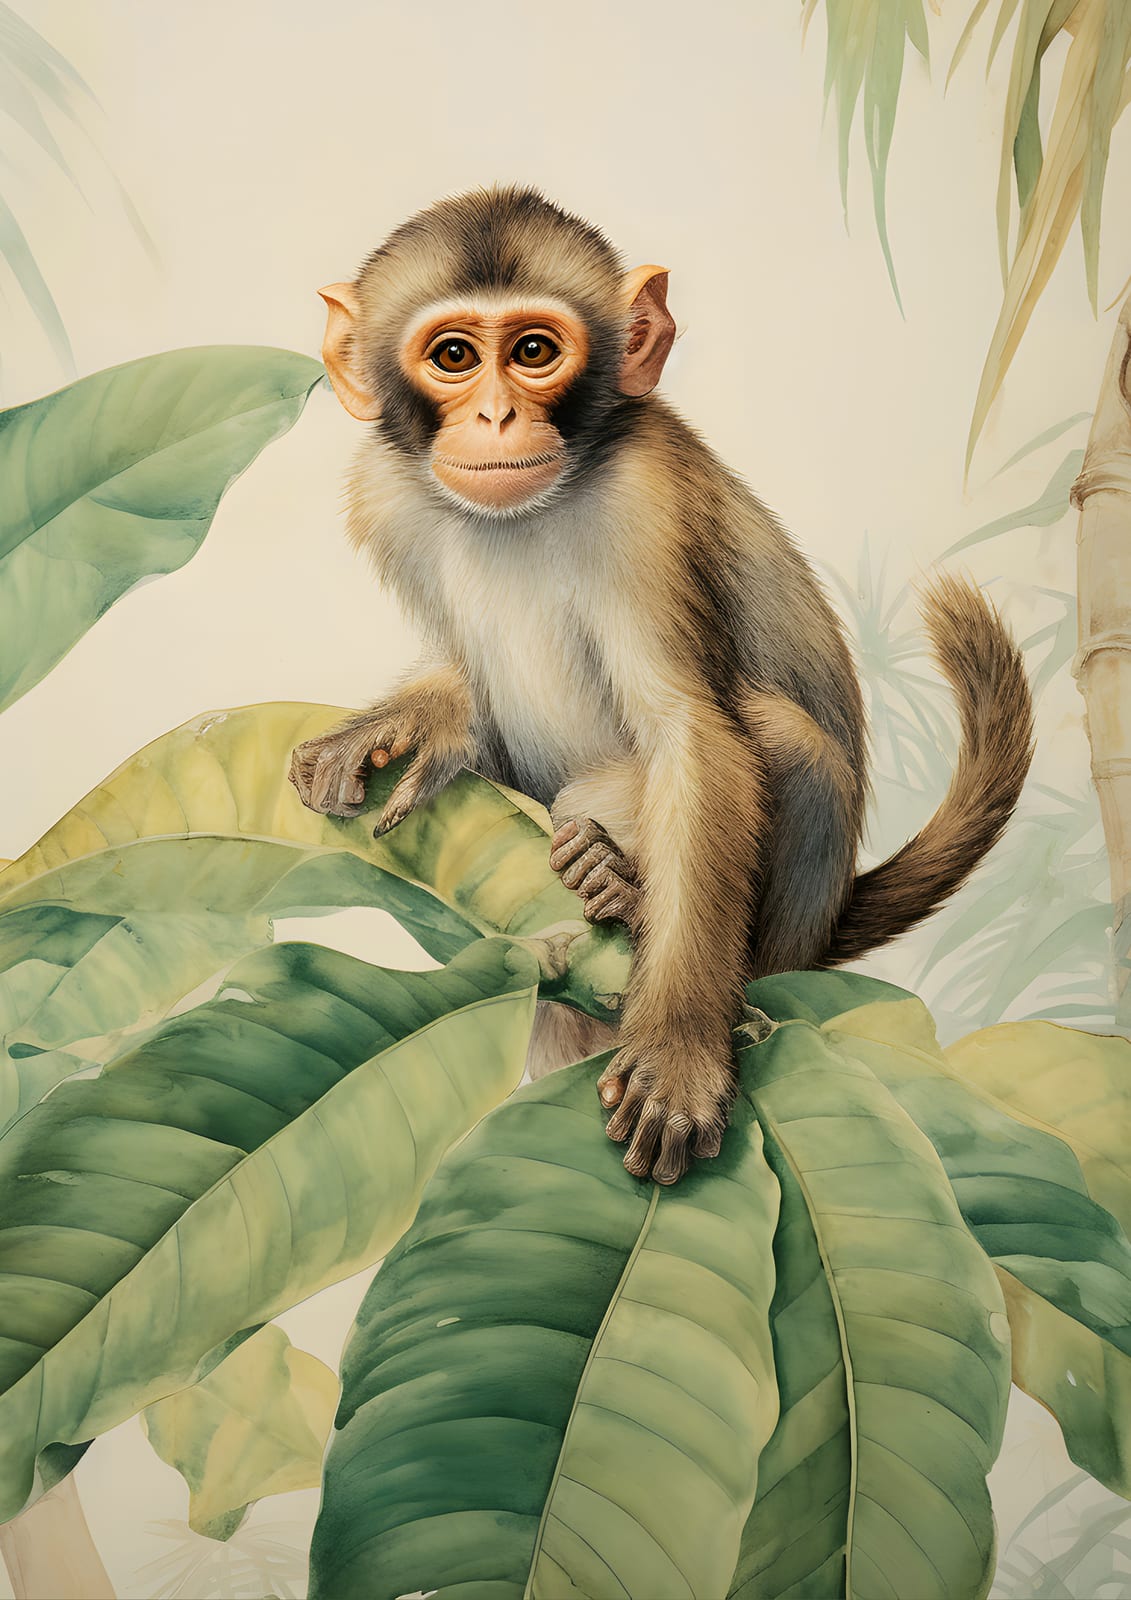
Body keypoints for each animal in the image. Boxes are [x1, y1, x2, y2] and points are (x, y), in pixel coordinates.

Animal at [289, 185, 1033, 1186]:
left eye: (533, 351)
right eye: (452, 357)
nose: (494, 418)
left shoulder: (646, 500)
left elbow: (692, 732)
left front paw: (679, 1049)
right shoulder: (386, 495)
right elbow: (467, 688)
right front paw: (405, 726)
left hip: (783, 934)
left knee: (777, 741)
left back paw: (620, 891)